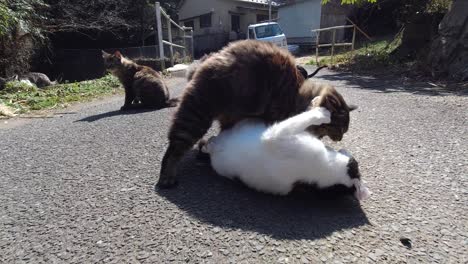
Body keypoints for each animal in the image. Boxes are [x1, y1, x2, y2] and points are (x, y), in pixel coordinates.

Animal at [157, 39, 354, 188]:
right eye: (339, 129)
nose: (340, 139)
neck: (297, 96)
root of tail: (209, 58)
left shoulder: (232, 122)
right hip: (197, 114)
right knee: (175, 147)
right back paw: (167, 176)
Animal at [201, 103, 372, 200]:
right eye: (356, 162)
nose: (346, 150)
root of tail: (216, 151)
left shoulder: (274, 136)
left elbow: (301, 119)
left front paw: (321, 113)